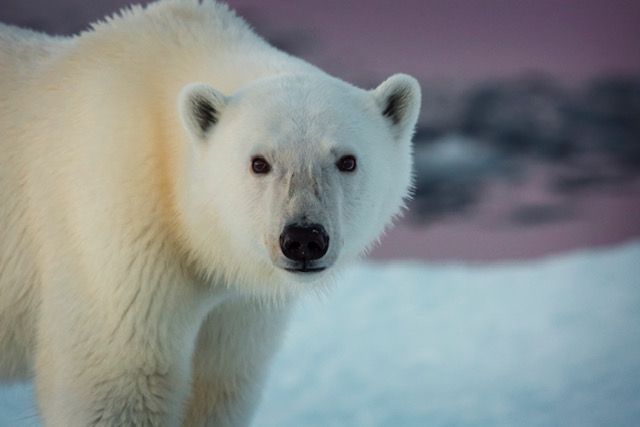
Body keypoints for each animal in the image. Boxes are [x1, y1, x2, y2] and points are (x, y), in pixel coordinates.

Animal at [0, 1, 420, 426]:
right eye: (259, 162)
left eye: (347, 160)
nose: (303, 238)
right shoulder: (115, 239)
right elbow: (119, 384)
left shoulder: (238, 306)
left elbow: (218, 385)